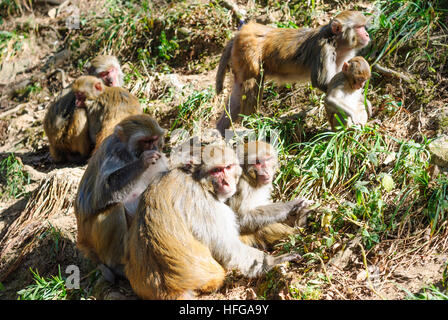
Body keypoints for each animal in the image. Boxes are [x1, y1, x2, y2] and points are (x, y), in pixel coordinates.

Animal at [74, 114, 167, 282]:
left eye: (154, 139)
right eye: (146, 141)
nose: (153, 148)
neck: (129, 155)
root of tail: (82, 239)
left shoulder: (160, 159)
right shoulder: (112, 155)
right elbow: (104, 190)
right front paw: (143, 162)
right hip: (93, 236)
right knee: (114, 209)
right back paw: (118, 266)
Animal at [124, 144, 300, 298]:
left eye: (227, 167)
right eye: (216, 170)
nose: (226, 182)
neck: (196, 179)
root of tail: (168, 289)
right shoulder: (204, 203)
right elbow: (228, 246)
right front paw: (272, 261)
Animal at [214, 10, 372, 134]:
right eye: (359, 27)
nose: (367, 34)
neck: (336, 41)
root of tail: (242, 31)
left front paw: (364, 101)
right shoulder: (324, 49)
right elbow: (323, 83)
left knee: (238, 93)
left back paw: (221, 131)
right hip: (247, 52)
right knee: (252, 83)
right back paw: (250, 122)